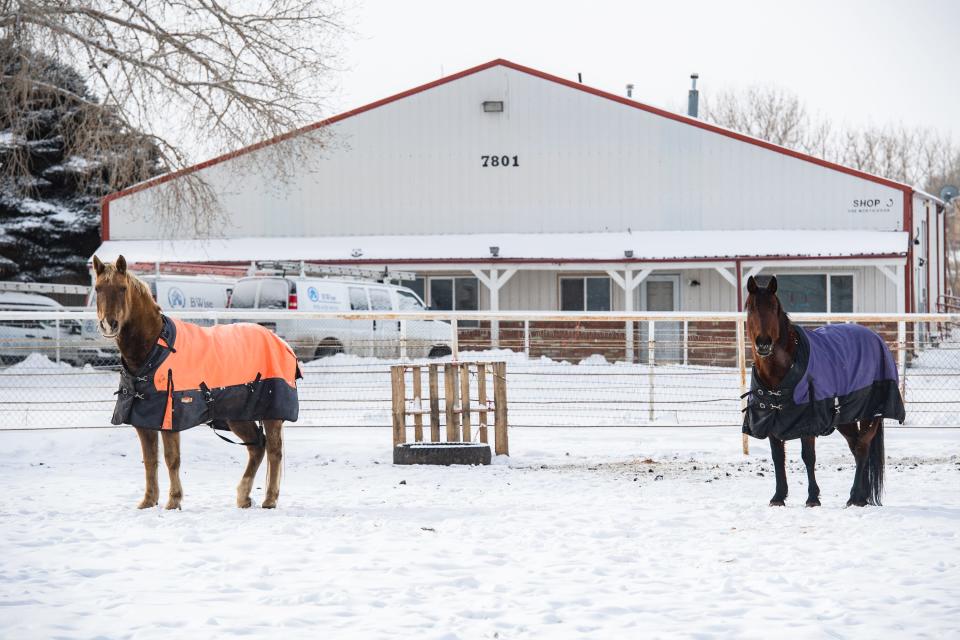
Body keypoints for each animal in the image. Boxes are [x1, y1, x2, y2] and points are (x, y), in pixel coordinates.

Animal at [94, 255, 298, 510]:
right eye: (97, 288)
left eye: (122, 288)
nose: (108, 324)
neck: (154, 350)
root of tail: (281, 342)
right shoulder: (143, 420)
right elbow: (150, 460)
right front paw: (148, 501)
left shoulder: (170, 420)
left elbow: (171, 459)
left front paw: (173, 501)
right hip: (238, 416)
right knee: (256, 447)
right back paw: (243, 496)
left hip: (271, 415)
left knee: (273, 451)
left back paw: (269, 500)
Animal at [744, 278, 908, 508]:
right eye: (750, 308)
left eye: (774, 307)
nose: (763, 343)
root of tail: (876, 339)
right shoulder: (770, 422)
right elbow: (777, 457)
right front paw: (778, 497)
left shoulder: (808, 423)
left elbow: (808, 457)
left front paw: (813, 498)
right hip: (845, 419)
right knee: (856, 447)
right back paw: (861, 496)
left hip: (871, 414)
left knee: (862, 448)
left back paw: (854, 497)